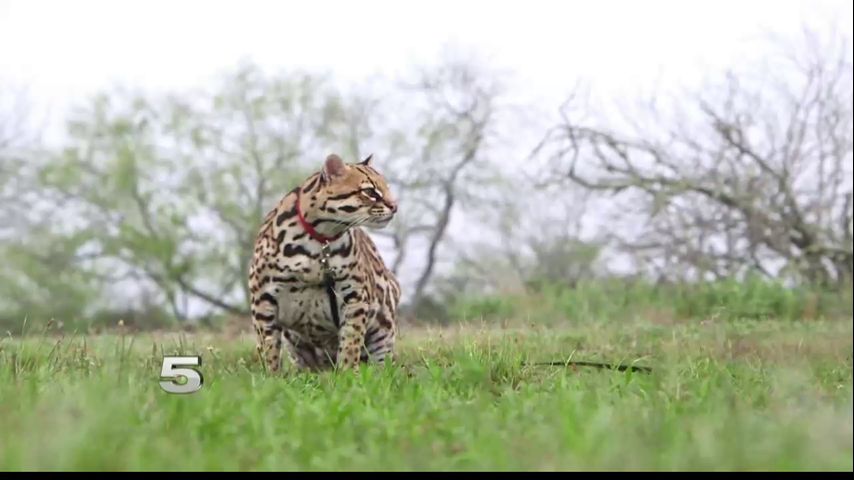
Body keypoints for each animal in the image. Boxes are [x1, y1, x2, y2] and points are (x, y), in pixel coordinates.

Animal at [247, 153, 401, 373]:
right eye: (370, 191)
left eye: (387, 188)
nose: (395, 207)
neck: (319, 240)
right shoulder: (262, 297)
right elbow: (269, 348)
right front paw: (272, 376)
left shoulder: (355, 297)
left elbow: (351, 343)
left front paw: (348, 375)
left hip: (383, 333)